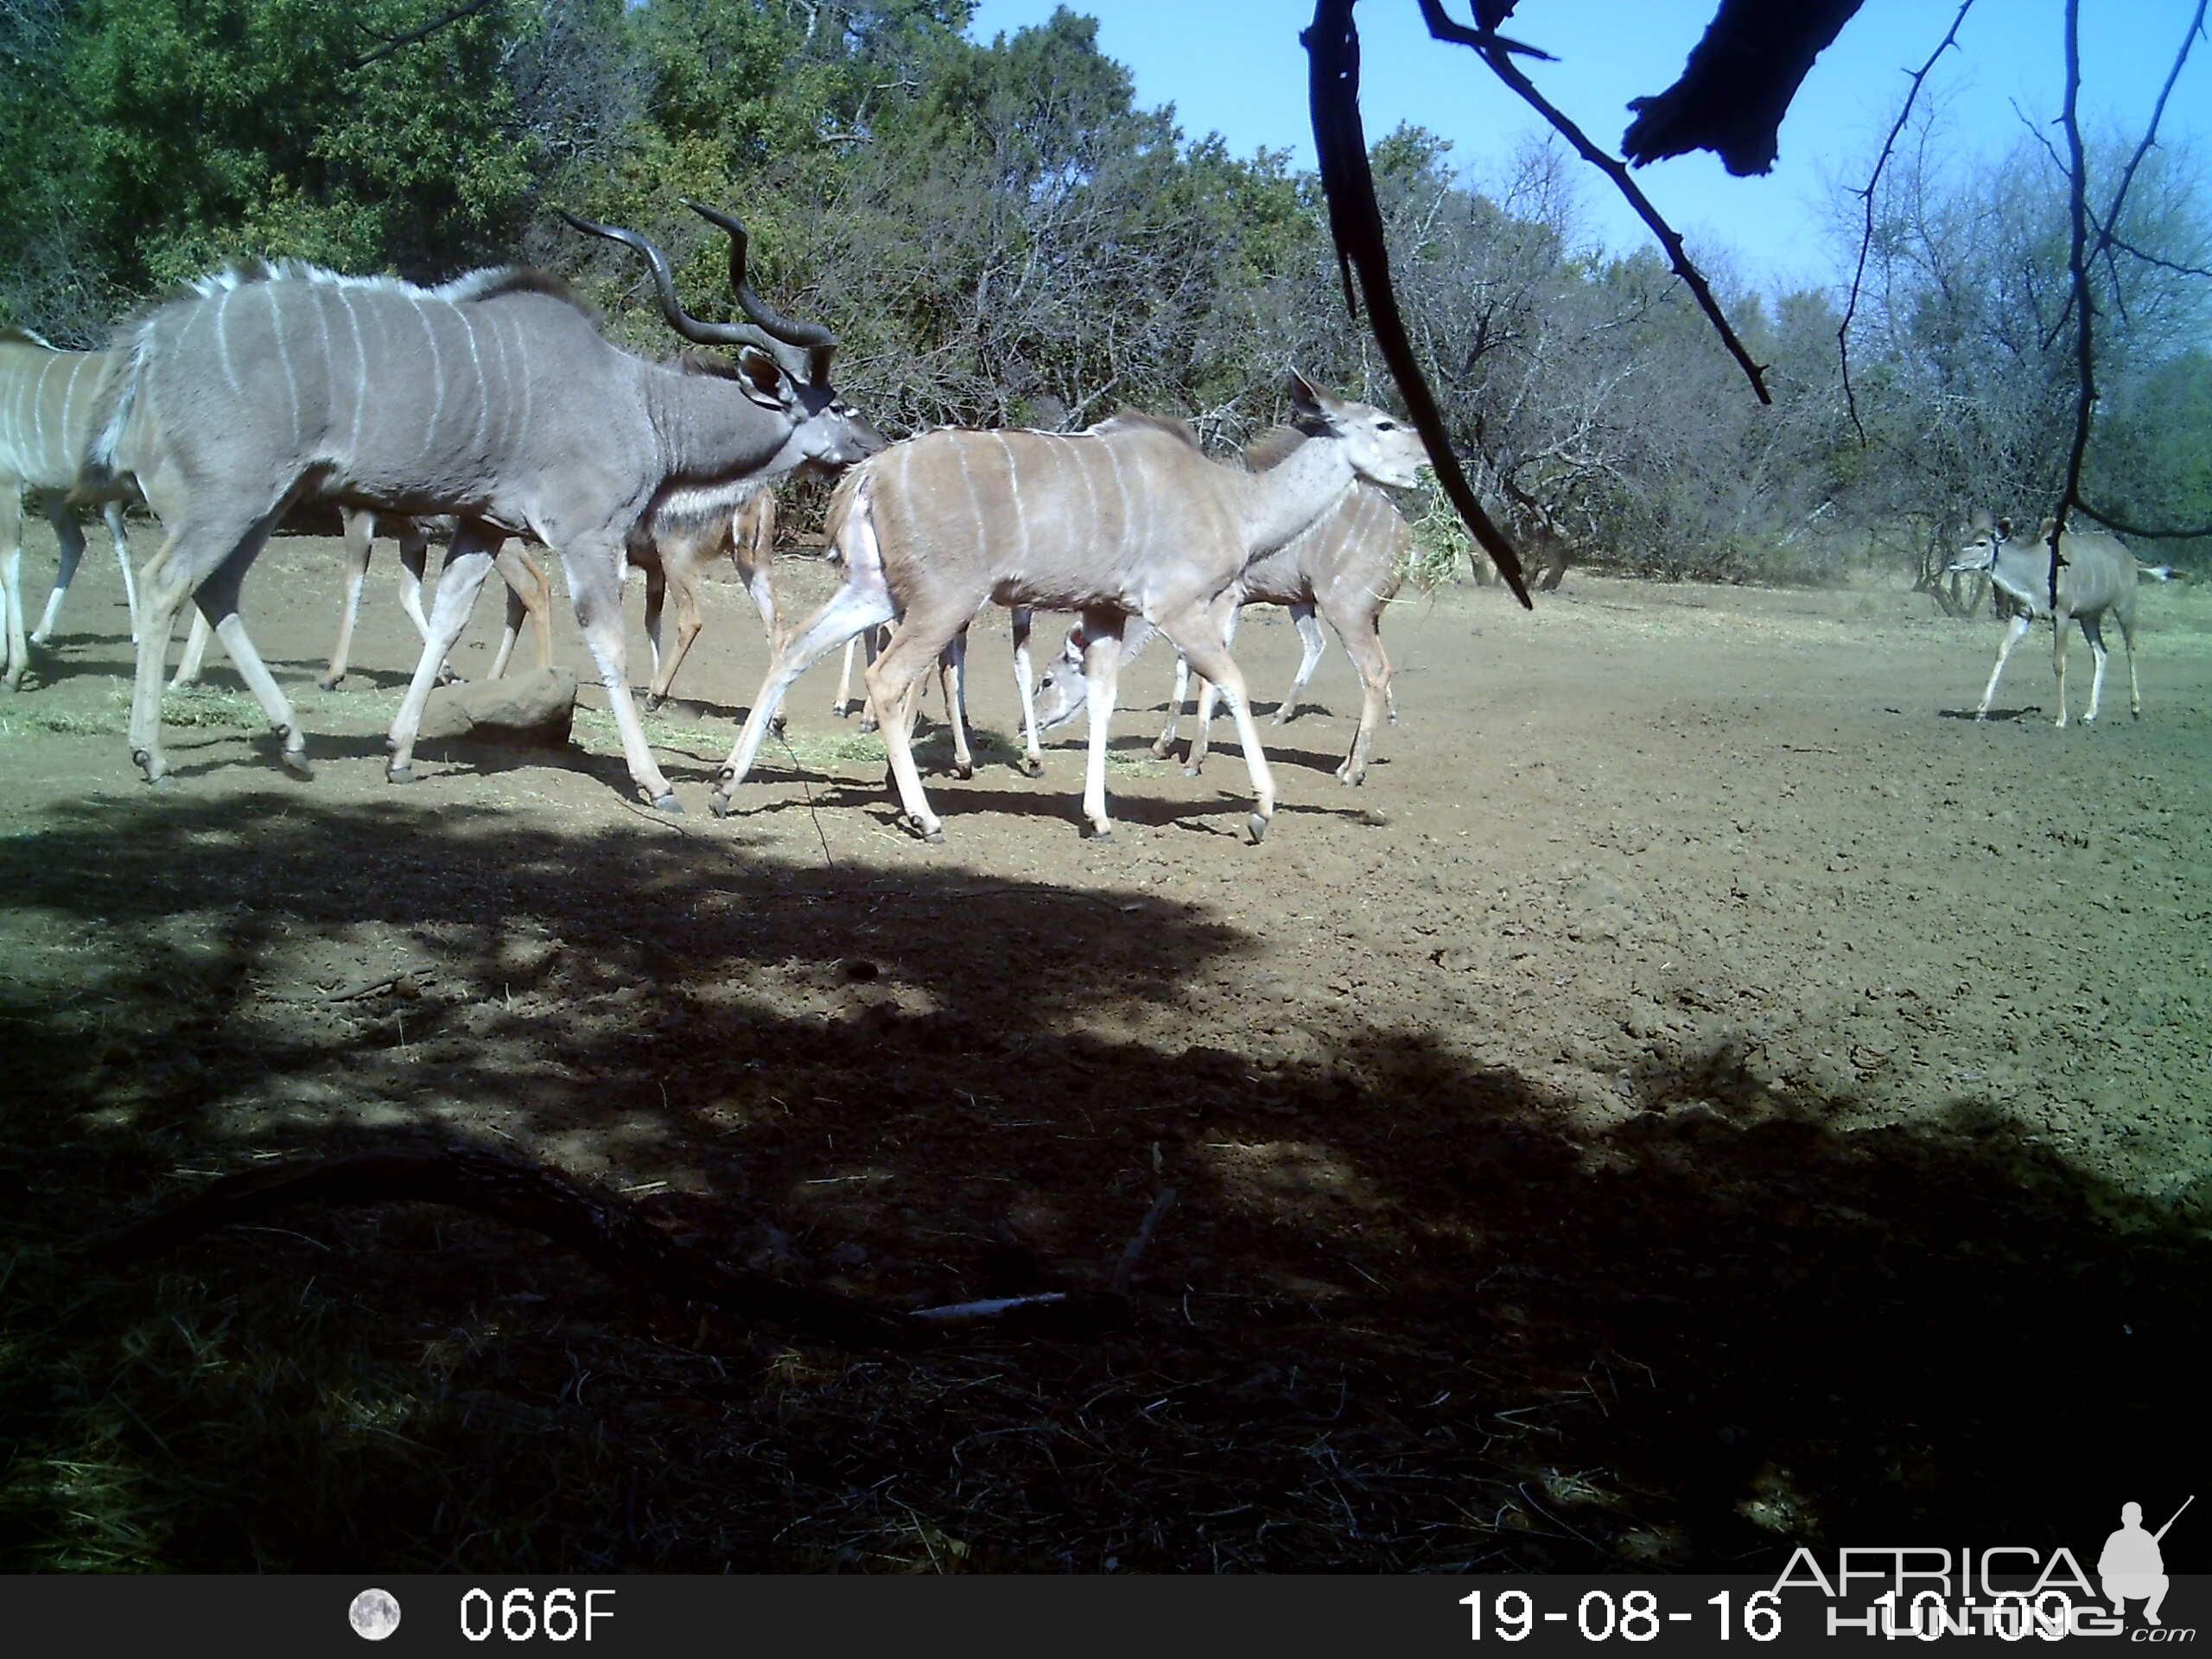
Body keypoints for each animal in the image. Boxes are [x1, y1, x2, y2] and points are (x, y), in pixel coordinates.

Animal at [90, 204, 875, 800]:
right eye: (836, 405)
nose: (871, 445)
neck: (642, 406)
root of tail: (157, 336)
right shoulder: (588, 537)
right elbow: (610, 644)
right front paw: (655, 783)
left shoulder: (483, 526)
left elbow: (446, 621)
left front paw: (401, 752)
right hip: (234, 492)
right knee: (164, 583)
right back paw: (152, 755)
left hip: (267, 499)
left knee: (217, 587)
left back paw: (292, 742)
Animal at [712, 376, 1433, 844]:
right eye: (1384, 424)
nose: (1426, 459)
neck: (1233, 499)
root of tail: (869, 475)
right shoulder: (1180, 606)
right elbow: (1228, 681)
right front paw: (1259, 809)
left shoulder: (1109, 612)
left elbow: (1105, 699)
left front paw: (1099, 815)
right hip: (942, 600)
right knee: (886, 678)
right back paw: (925, 816)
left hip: (874, 589)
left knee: (795, 645)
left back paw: (725, 785)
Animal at [1955, 518, 2141, 729]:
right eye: (1966, 538)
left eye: (1981, 543)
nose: (1954, 563)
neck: (2036, 570)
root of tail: (2129, 556)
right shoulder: (2023, 614)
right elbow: (2002, 651)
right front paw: (1981, 711)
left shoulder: (2061, 615)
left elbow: (2058, 663)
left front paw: (2061, 719)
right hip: (2089, 617)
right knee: (2101, 652)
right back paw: (2090, 714)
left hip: (2124, 606)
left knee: (2130, 648)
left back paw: (2135, 709)